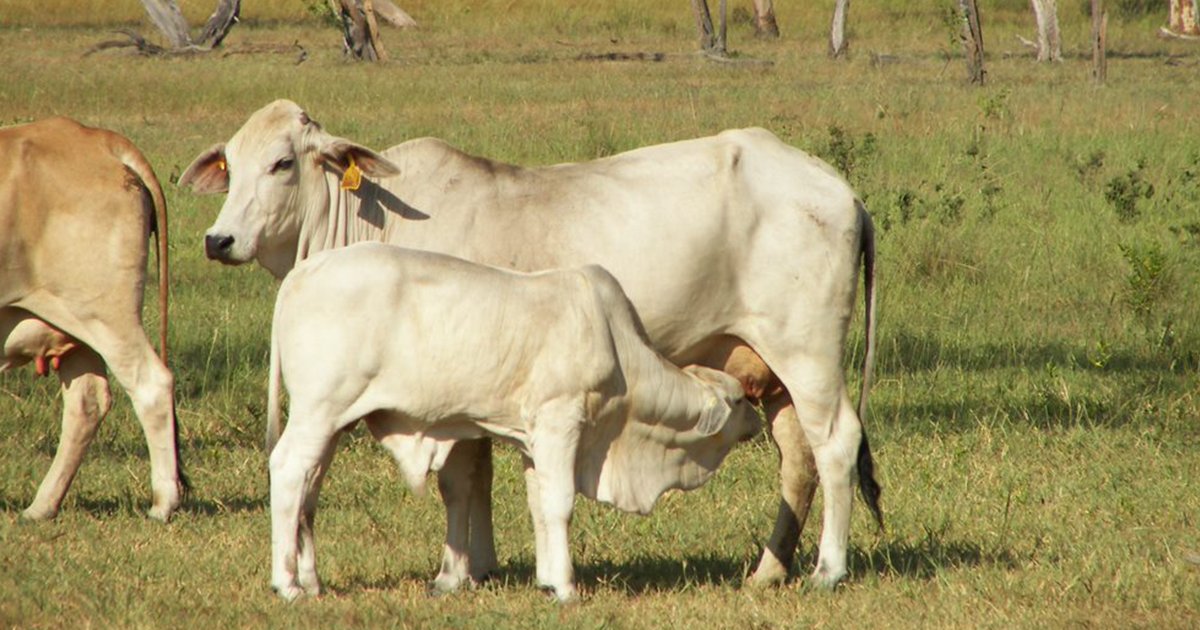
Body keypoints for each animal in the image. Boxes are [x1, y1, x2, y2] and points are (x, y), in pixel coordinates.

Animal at [0, 117, 183, 522]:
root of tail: (97, 137)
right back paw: (42, 506)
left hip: (105, 314)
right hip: (74, 326)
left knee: (151, 384)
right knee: (87, 403)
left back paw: (163, 503)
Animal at [265, 242, 762, 601]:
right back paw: (287, 585)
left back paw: (312, 581)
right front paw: (566, 588)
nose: (757, 420)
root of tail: (300, 274)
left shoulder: (532, 439)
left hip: (333, 424)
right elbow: (560, 503)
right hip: (318, 410)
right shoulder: (561, 422)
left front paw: (547, 578)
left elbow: (538, 505)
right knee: (288, 471)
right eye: (739, 399)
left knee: (310, 491)